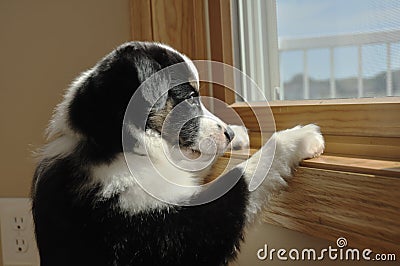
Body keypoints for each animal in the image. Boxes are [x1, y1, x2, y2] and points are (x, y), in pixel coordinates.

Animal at [32, 42, 324, 266]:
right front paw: (300, 137)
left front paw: (240, 135)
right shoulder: (175, 232)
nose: (229, 133)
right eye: (190, 96)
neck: (115, 147)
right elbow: (242, 178)